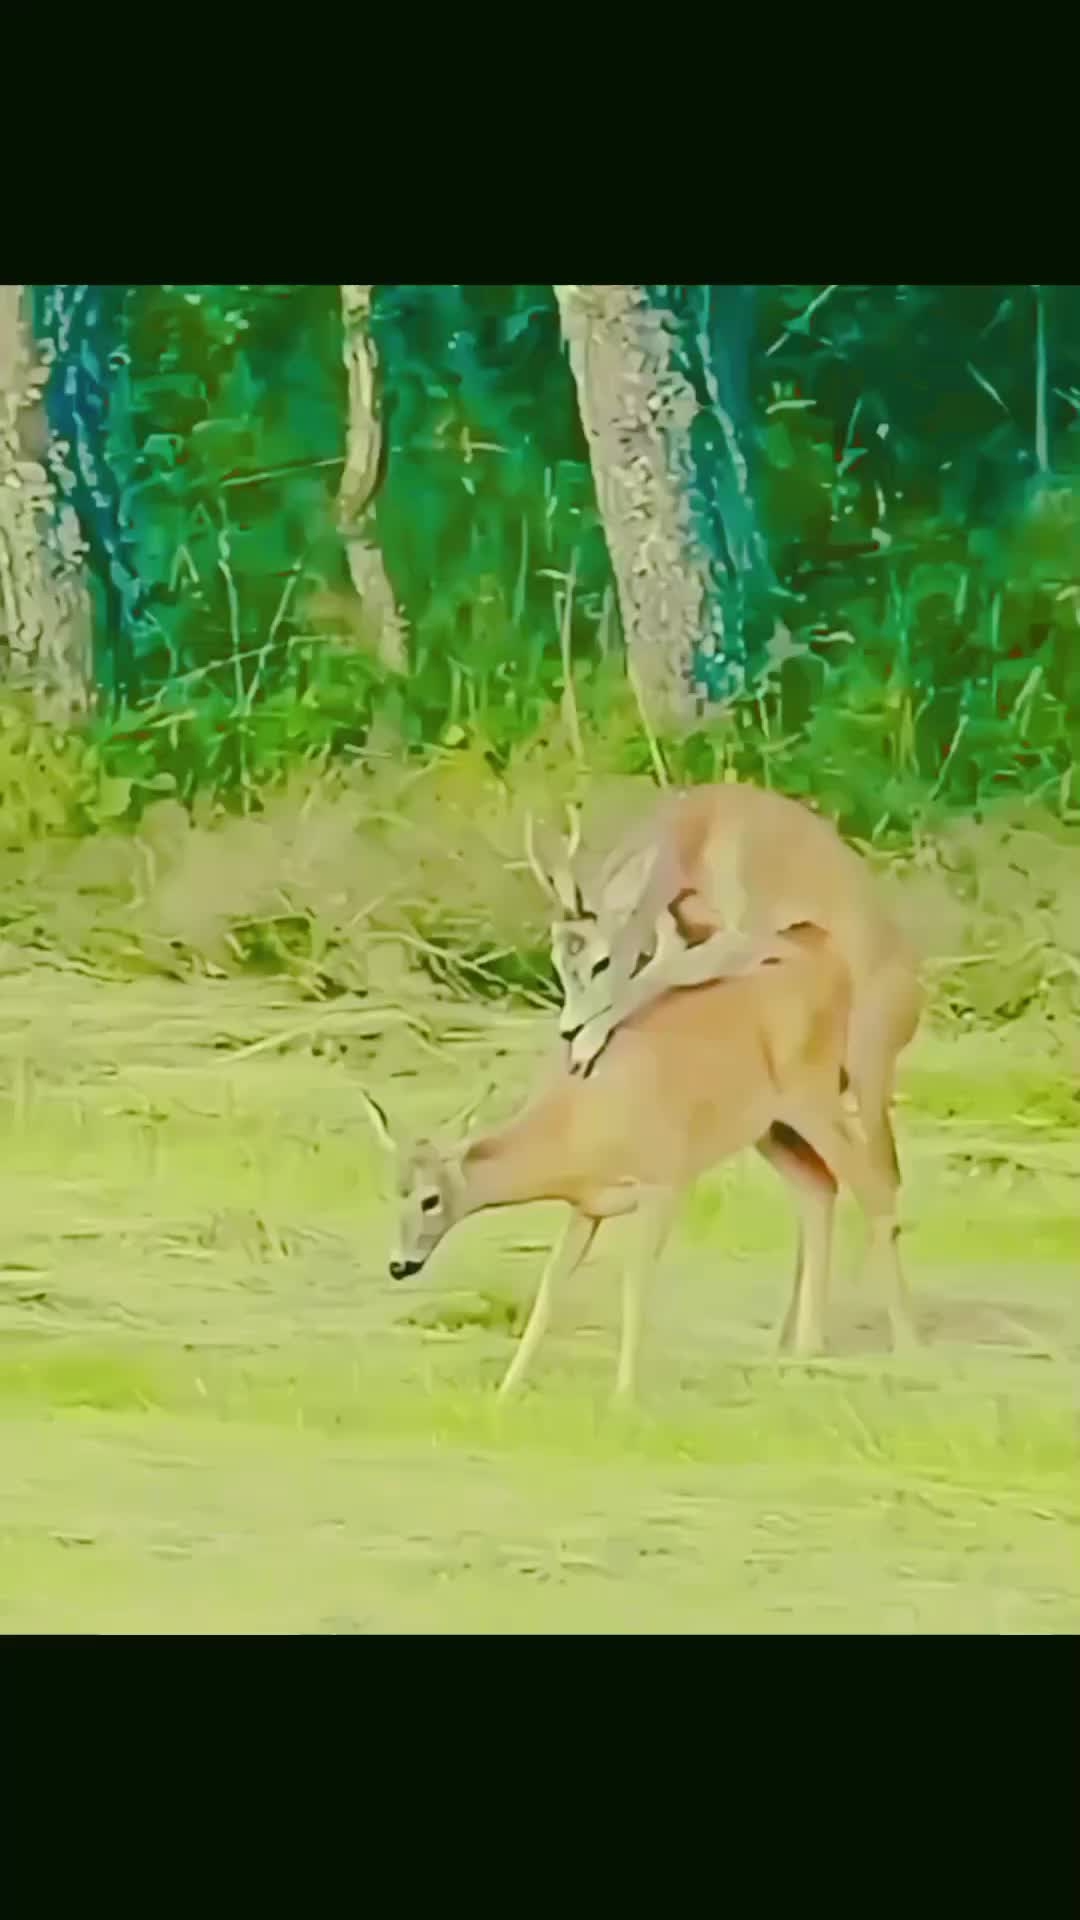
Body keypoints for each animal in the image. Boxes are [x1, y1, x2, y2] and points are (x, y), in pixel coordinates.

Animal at [361, 920, 920, 1404]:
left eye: (431, 1198)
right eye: (392, 1192)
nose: (398, 1265)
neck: (576, 1122)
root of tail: (823, 948)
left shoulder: (661, 1183)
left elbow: (634, 1286)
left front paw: (624, 1396)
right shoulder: (587, 1205)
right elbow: (550, 1287)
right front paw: (507, 1390)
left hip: (817, 1094)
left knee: (874, 1186)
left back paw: (905, 1345)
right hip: (771, 1128)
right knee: (818, 1188)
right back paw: (801, 1348)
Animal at [524, 782, 923, 1217]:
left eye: (601, 962)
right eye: (557, 961)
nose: (567, 1028)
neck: (697, 836)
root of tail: (915, 995)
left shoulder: (741, 938)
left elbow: (654, 977)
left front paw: (585, 1045)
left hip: (868, 1069)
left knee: (884, 1176)